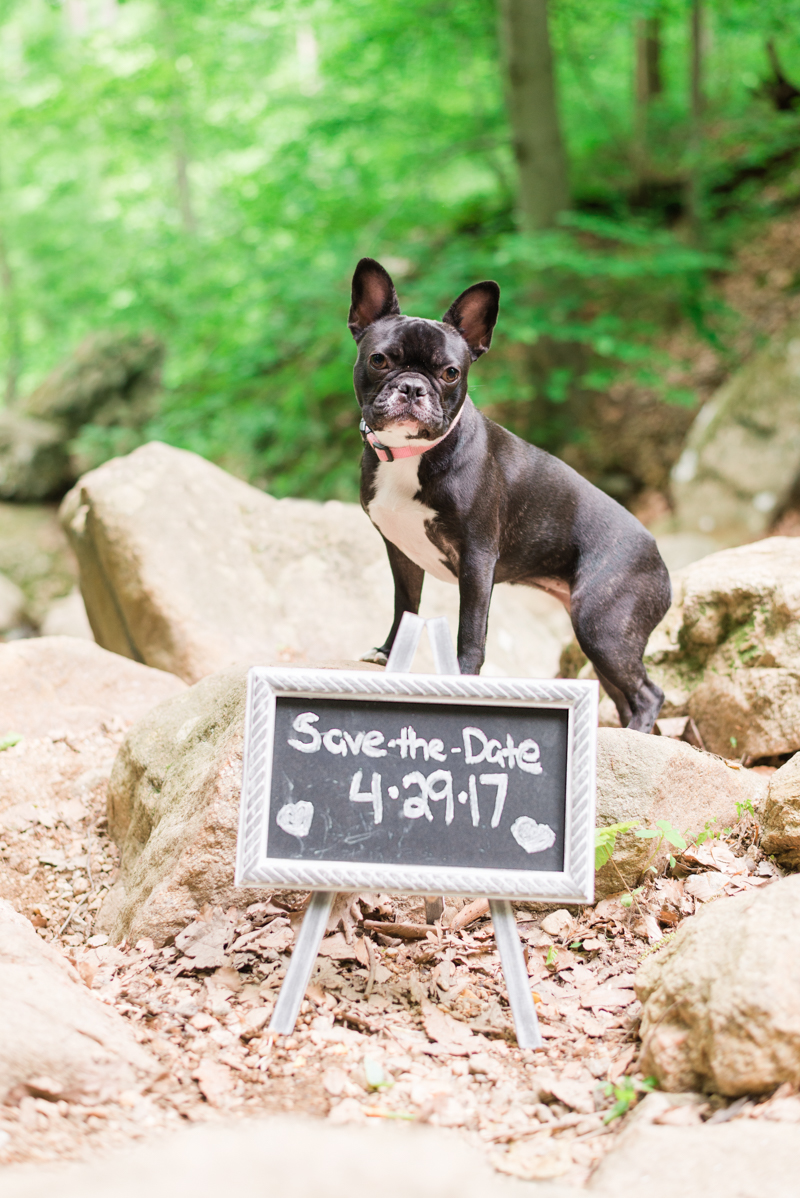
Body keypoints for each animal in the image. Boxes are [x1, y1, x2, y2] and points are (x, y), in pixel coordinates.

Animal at [347, 257, 670, 733]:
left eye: (450, 373)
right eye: (379, 360)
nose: (412, 387)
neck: (411, 454)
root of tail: (657, 556)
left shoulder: (478, 559)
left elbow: (470, 628)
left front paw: (463, 678)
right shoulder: (401, 553)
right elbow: (405, 606)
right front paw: (388, 654)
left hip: (603, 626)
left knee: (649, 693)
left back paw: (635, 732)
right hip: (601, 640)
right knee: (626, 693)